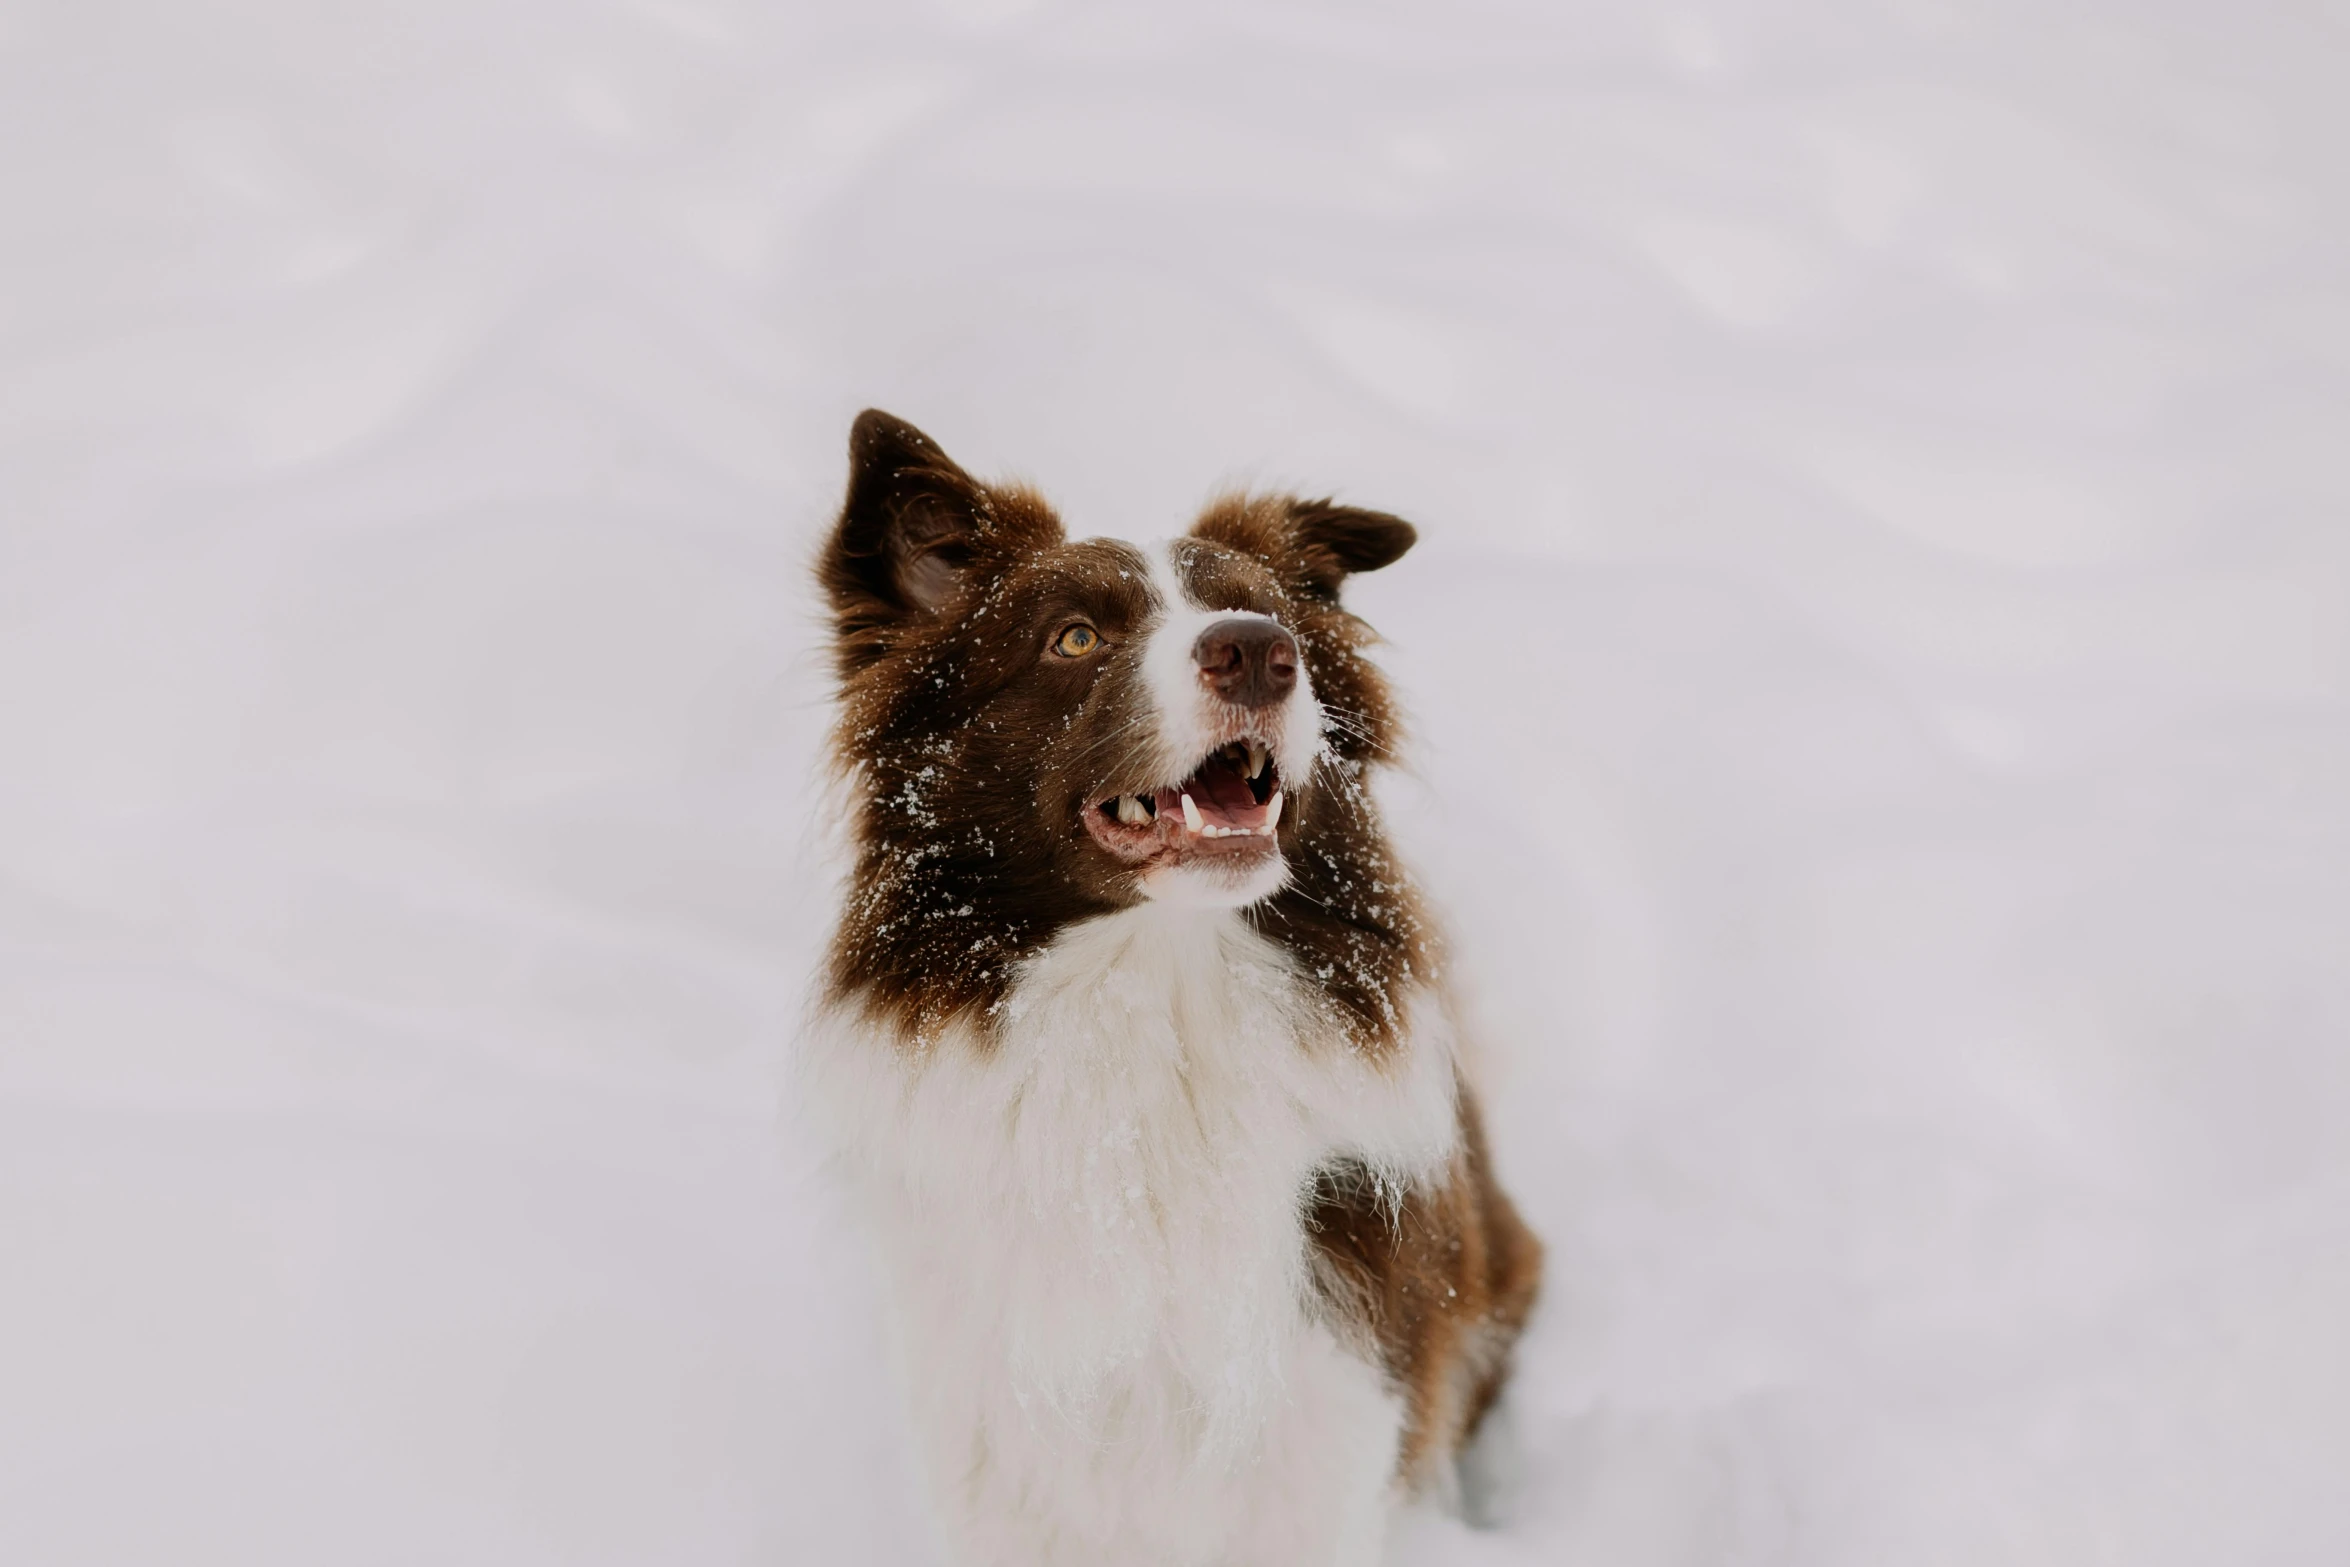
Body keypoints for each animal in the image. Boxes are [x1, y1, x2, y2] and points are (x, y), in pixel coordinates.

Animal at [808, 411, 1541, 1559]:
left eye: (1277, 621)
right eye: (1073, 638)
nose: (1257, 651)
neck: (1157, 1002)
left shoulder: (1320, 1415)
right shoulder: (998, 1440)